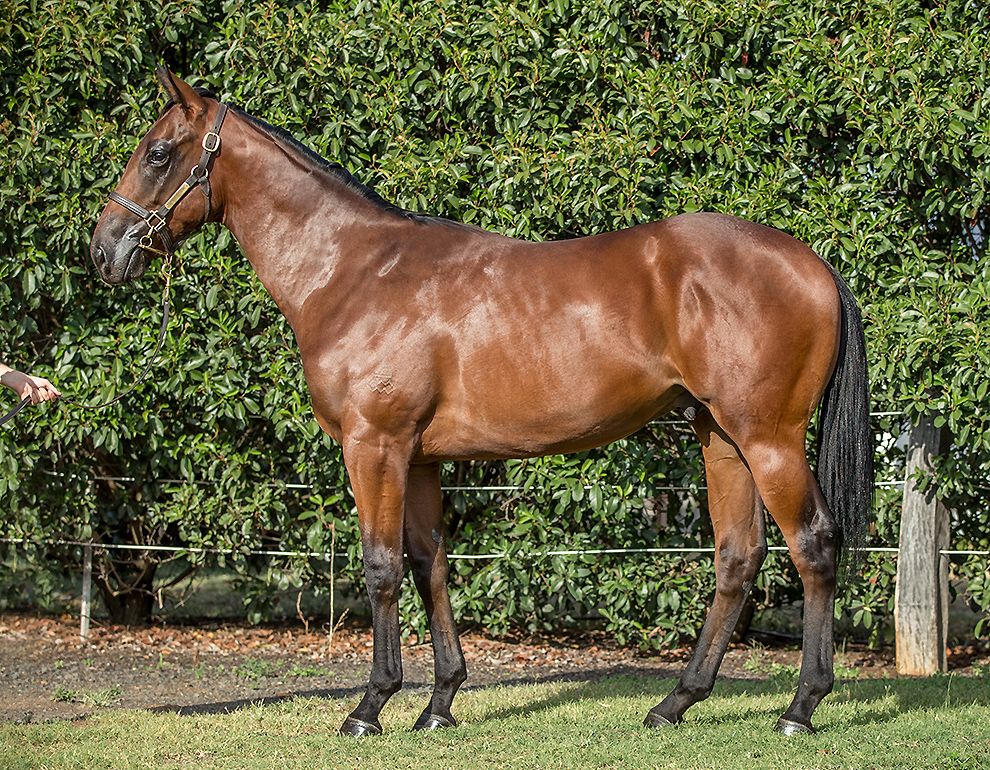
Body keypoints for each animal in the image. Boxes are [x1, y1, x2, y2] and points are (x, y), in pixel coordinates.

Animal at [90, 68, 873, 737]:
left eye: (157, 154)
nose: (102, 250)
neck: (356, 271)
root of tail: (814, 263)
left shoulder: (373, 445)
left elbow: (380, 568)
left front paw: (369, 708)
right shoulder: (418, 459)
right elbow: (427, 564)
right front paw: (438, 703)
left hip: (769, 438)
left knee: (813, 547)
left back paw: (801, 707)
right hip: (722, 440)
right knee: (737, 558)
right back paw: (675, 703)